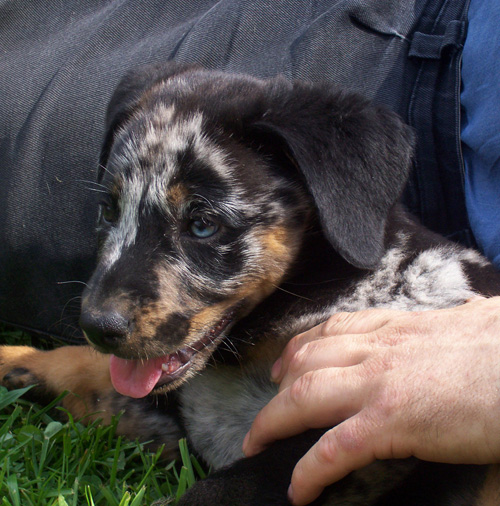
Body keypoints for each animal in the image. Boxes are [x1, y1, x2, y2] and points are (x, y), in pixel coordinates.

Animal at [0, 64, 500, 506]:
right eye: (109, 210)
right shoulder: (186, 415)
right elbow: (88, 370)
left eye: (202, 225)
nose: (97, 326)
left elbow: (212, 493)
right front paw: (14, 359)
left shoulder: (335, 433)